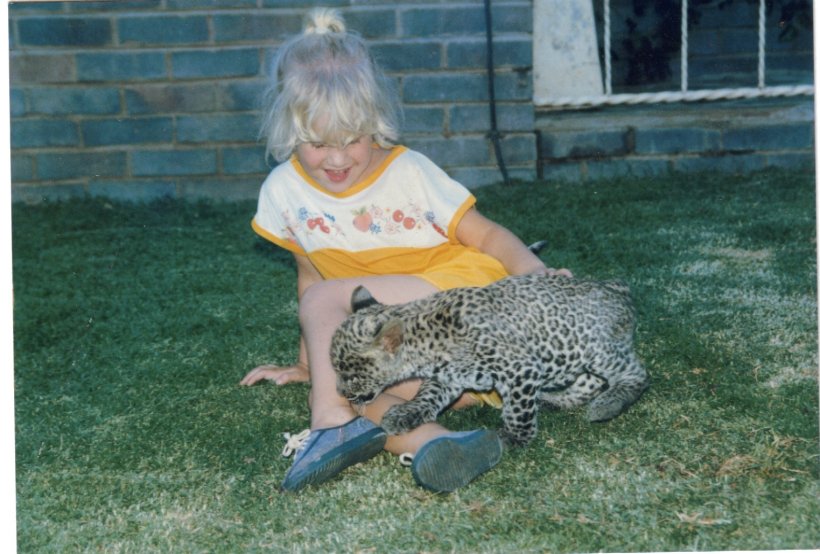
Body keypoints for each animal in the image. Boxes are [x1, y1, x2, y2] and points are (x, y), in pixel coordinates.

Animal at [330, 273, 649, 447]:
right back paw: (555, 400)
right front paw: (406, 413)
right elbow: (427, 395)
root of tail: (616, 286)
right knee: (588, 382)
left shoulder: (520, 369)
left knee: (638, 374)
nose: (340, 392)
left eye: (348, 374)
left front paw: (513, 437)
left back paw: (608, 404)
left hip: (598, 350)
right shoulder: (449, 378)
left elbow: (518, 410)